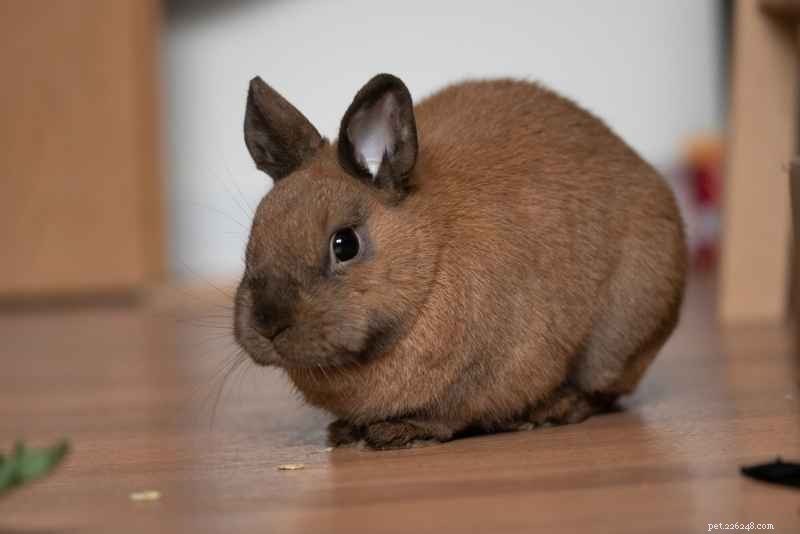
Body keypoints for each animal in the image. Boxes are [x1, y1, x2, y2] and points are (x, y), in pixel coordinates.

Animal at [233, 73, 687, 450]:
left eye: (344, 244)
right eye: (254, 236)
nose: (268, 324)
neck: (430, 264)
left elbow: (450, 415)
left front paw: (399, 432)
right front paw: (345, 431)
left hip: (618, 338)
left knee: (601, 391)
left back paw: (552, 410)